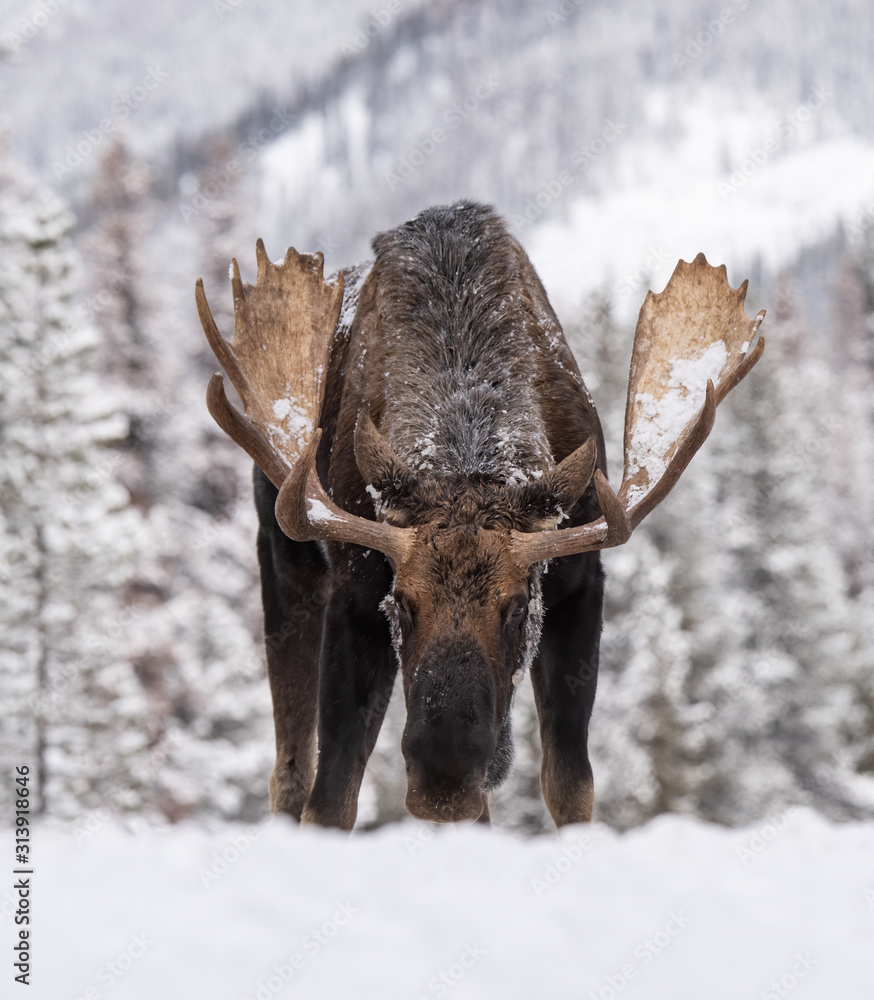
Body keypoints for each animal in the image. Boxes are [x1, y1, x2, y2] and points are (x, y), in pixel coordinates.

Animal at [196, 201, 765, 830]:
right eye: (401, 604)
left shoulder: (580, 583)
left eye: (517, 608)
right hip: (284, 558)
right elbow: (330, 800)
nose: (443, 779)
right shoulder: (355, 593)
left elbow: (572, 787)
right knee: (290, 770)